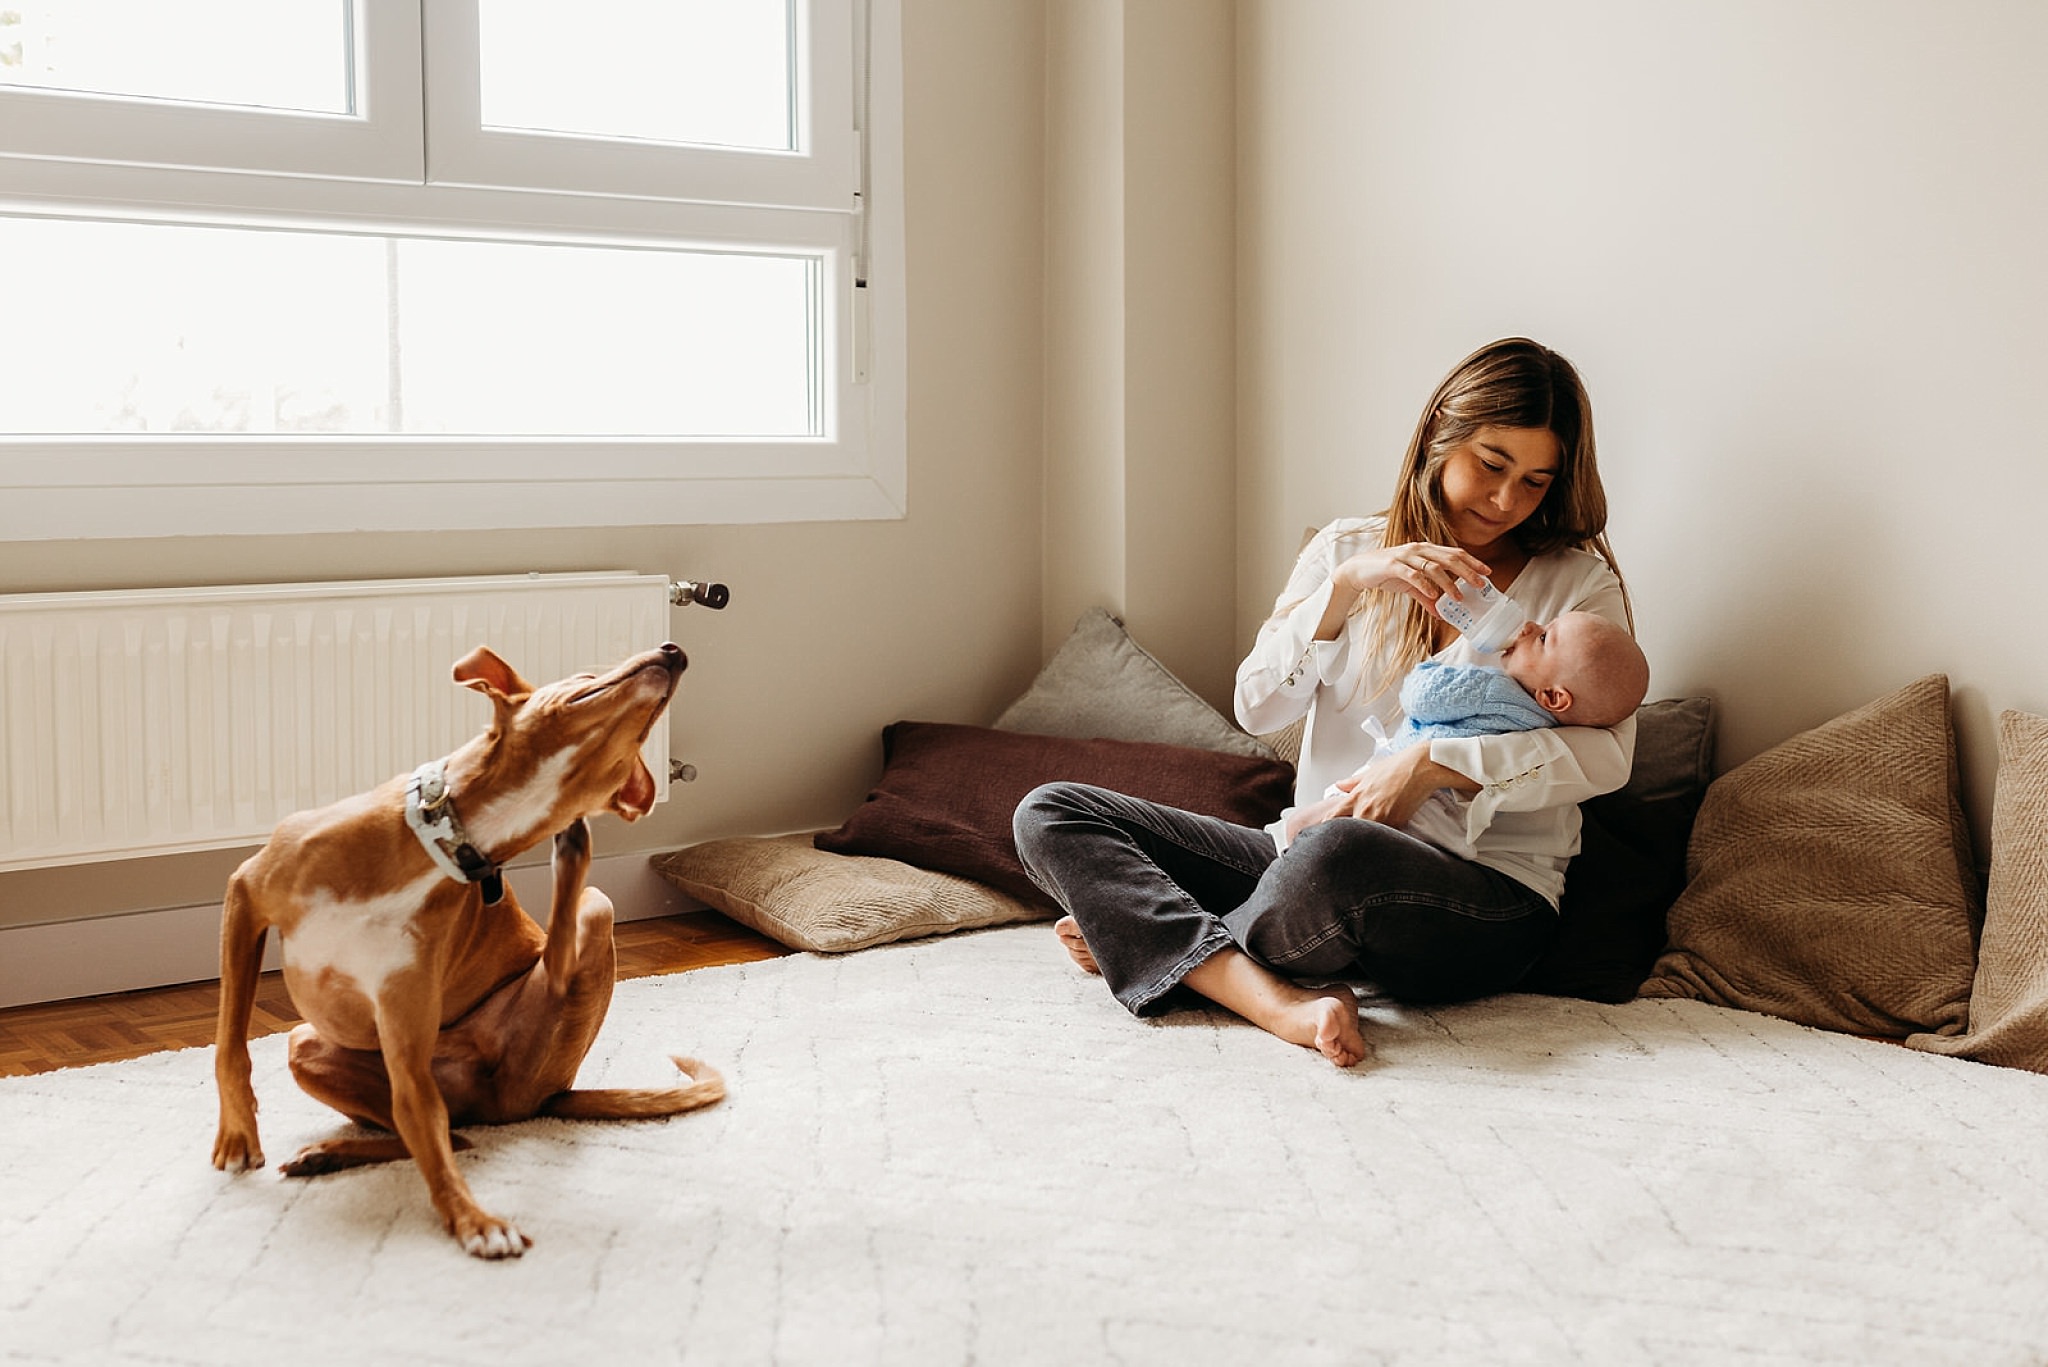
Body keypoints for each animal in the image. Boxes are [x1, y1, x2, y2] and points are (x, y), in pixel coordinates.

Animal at [212, 643, 724, 1262]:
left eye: (646, 729)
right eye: (586, 679)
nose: (676, 654)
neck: (450, 835)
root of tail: (539, 1099)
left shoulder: (402, 1025)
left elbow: (433, 1147)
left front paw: (472, 1218)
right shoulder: (245, 897)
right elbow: (230, 1040)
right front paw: (238, 1136)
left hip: (588, 922)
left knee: (476, 1094)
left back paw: (573, 852)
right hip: (305, 1043)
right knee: (450, 1131)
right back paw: (326, 1156)